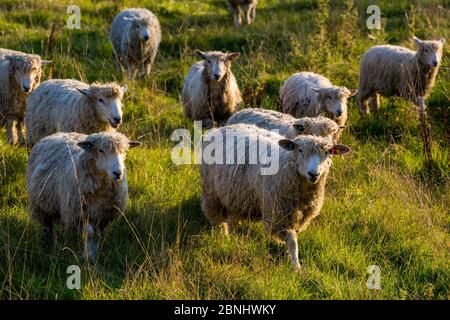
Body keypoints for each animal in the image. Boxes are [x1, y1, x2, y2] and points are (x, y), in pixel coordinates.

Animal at [26, 131, 139, 262]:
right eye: (100, 150)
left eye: (124, 151)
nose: (118, 173)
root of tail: (57, 133)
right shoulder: (79, 214)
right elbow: (89, 233)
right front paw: (88, 256)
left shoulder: (103, 215)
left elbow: (97, 235)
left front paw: (94, 257)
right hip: (41, 205)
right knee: (48, 228)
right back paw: (51, 247)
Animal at [200, 122, 352, 268]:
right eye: (300, 150)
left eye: (327, 152)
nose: (314, 174)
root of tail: (221, 128)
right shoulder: (279, 213)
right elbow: (292, 241)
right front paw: (296, 266)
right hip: (212, 193)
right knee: (218, 219)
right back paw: (223, 237)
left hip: (235, 194)